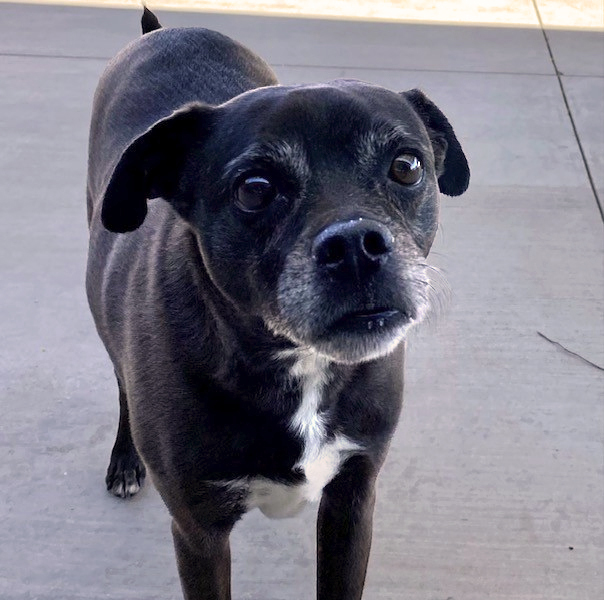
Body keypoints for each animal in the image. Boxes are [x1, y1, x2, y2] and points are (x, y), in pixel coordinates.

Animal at [85, 5, 470, 600]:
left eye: (407, 166)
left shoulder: (352, 503)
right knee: (120, 379)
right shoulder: (199, 534)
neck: (296, 364)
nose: (355, 246)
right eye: (254, 188)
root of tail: (164, 33)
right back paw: (126, 459)